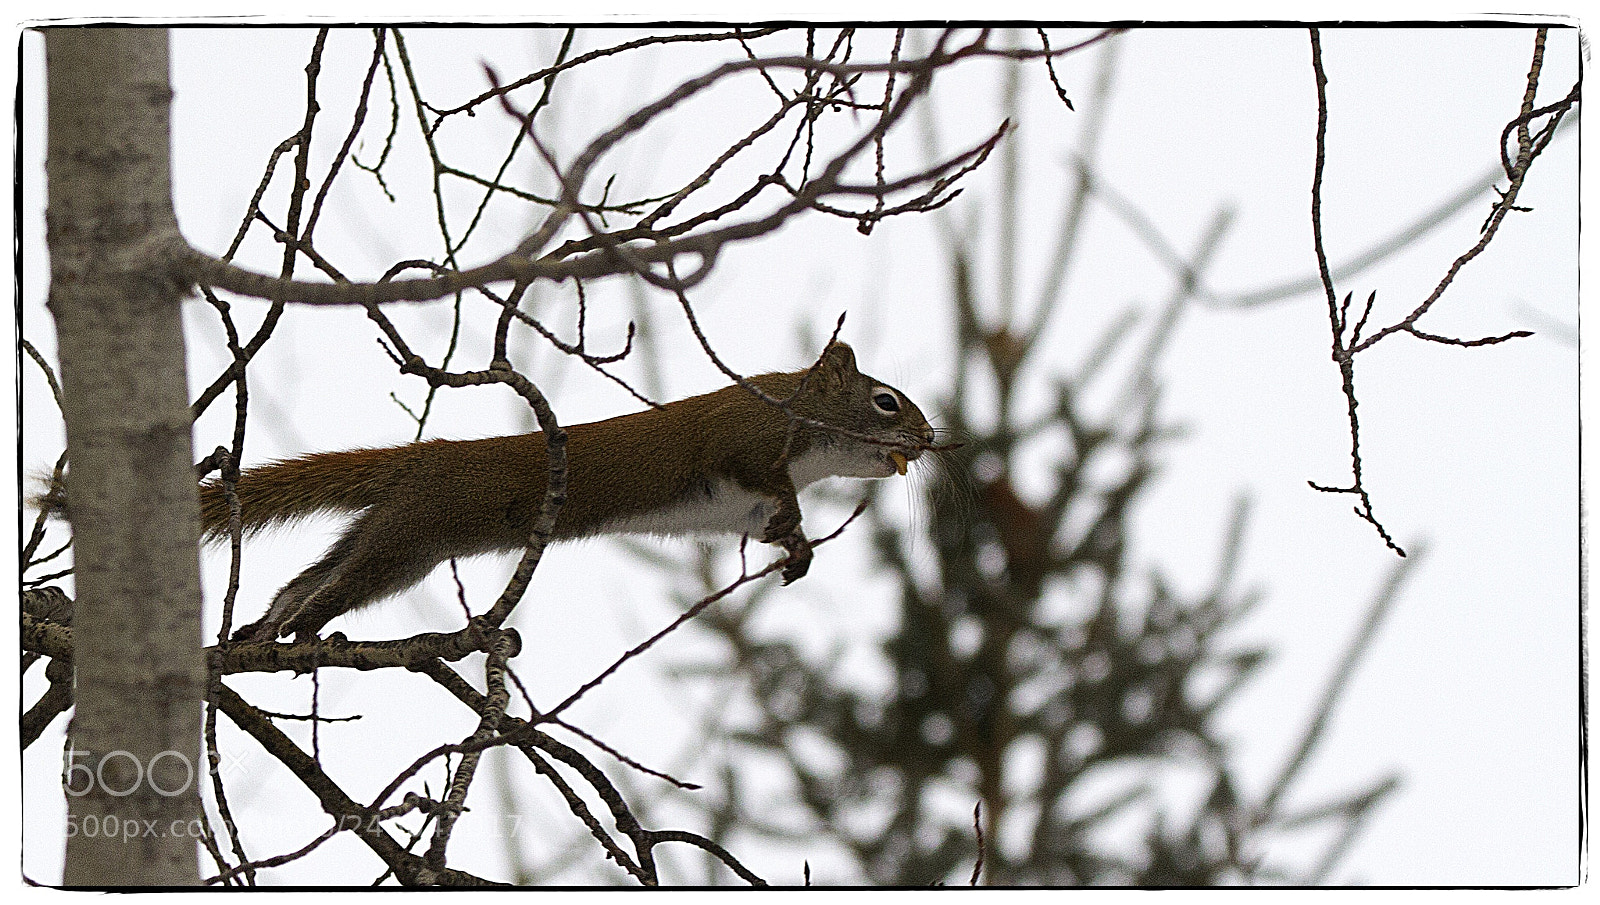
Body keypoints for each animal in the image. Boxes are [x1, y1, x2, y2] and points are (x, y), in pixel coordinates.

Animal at [152, 341, 933, 642]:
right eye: (885, 401)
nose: (930, 437)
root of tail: (422, 458)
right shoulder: (740, 440)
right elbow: (761, 478)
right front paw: (797, 524)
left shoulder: (740, 504)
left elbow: (769, 522)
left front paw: (796, 546)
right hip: (413, 536)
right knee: (339, 583)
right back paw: (306, 626)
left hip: (390, 526)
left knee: (309, 575)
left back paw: (264, 629)